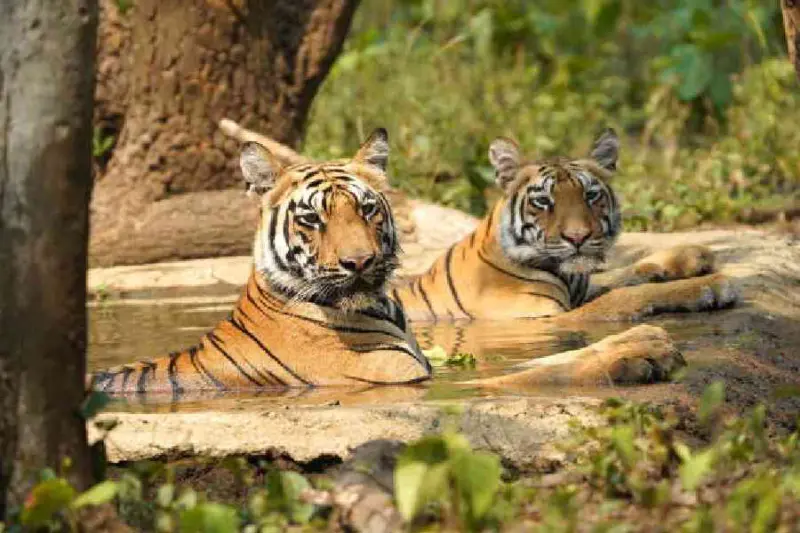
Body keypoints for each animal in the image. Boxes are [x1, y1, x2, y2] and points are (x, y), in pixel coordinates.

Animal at [392, 129, 735, 323]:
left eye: (591, 195)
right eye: (543, 201)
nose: (578, 237)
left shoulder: (581, 287)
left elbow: (624, 273)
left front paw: (693, 255)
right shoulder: (542, 315)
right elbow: (627, 295)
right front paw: (712, 285)